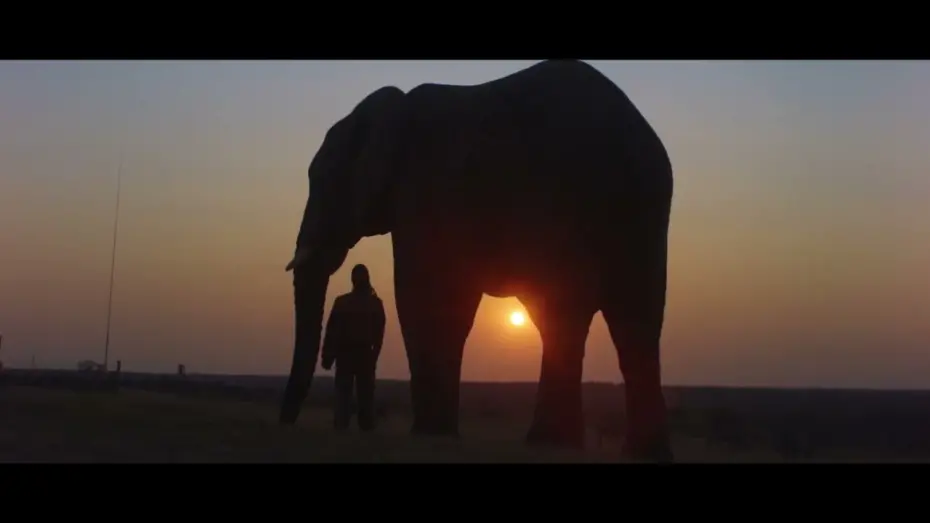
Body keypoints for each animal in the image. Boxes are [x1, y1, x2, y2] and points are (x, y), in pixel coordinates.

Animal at [280, 59, 675, 461]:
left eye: (322, 181)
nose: (287, 421)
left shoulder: (426, 190)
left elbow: (424, 294)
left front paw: (431, 434)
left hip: (584, 200)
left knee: (583, 312)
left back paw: (558, 442)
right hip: (638, 208)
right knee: (630, 320)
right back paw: (617, 449)